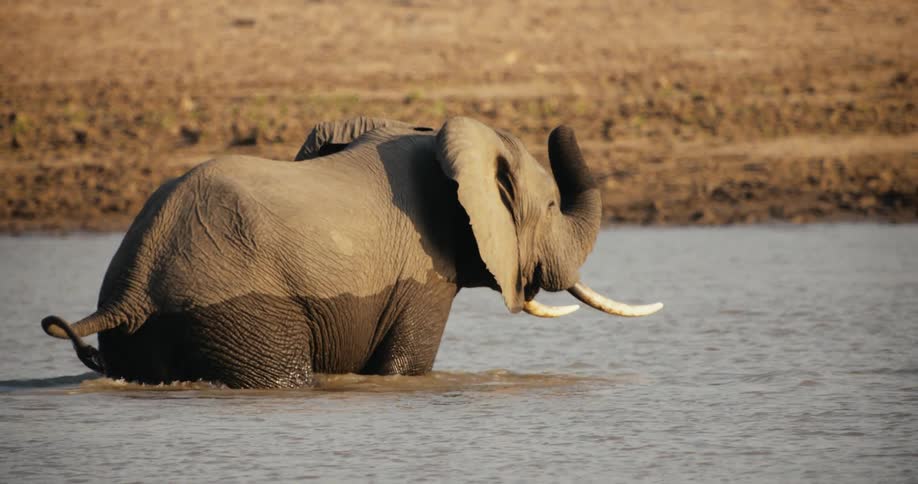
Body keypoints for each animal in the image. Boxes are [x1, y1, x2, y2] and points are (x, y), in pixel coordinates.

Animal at [41, 116, 662, 388]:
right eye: (554, 206)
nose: (562, 126)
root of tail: (130, 290)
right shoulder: (422, 275)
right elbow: (408, 365)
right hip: (240, 308)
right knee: (282, 377)